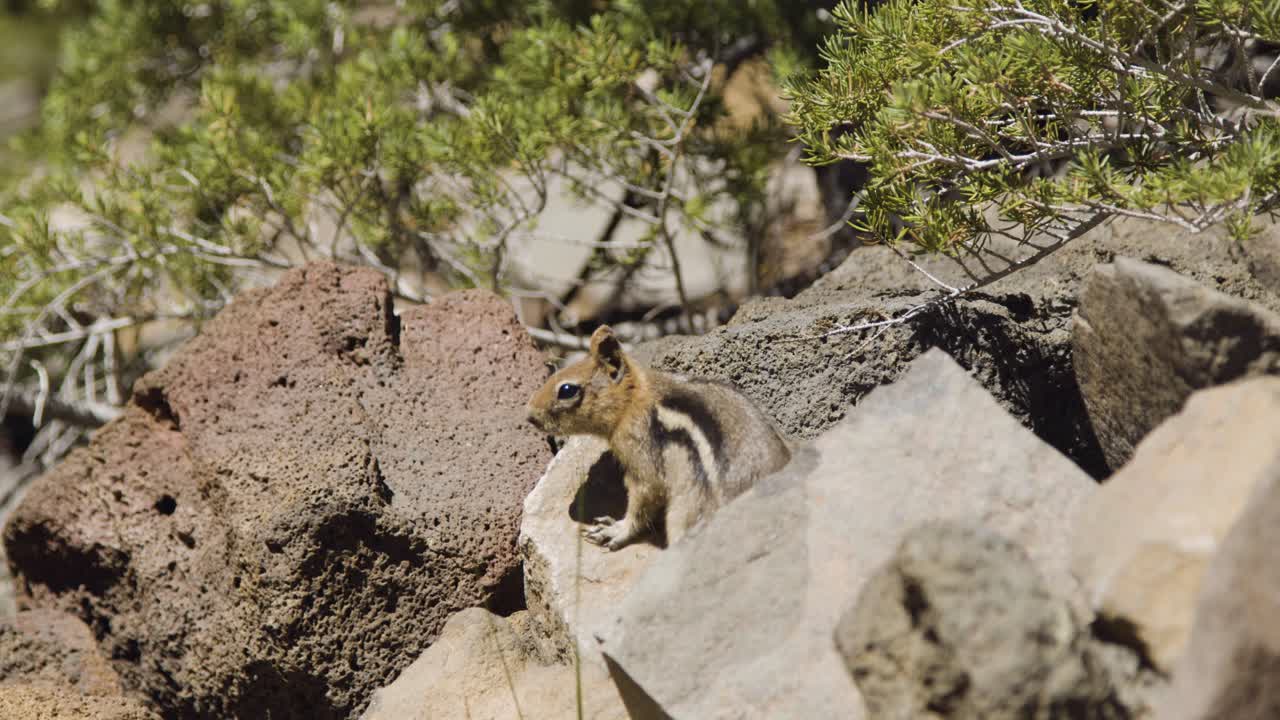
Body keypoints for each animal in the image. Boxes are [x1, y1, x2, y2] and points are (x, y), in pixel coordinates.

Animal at [526, 325, 791, 551]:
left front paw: (615, 530)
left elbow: (642, 500)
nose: (529, 415)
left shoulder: (641, 460)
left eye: (566, 390)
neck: (634, 399)